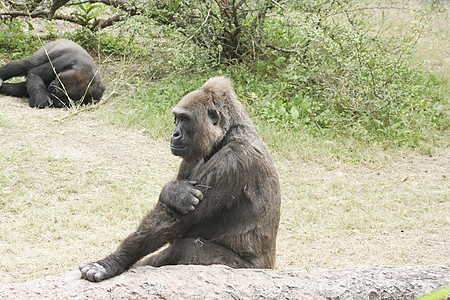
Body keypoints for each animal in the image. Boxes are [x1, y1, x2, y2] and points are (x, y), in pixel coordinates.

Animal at [79, 76, 280, 282]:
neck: (226, 134)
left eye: (185, 119)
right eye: (176, 118)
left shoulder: (232, 161)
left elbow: (176, 220)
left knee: (186, 249)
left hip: (246, 268)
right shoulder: (191, 158)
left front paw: (111, 262)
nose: (174, 134)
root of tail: (270, 267)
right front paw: (173, 192)